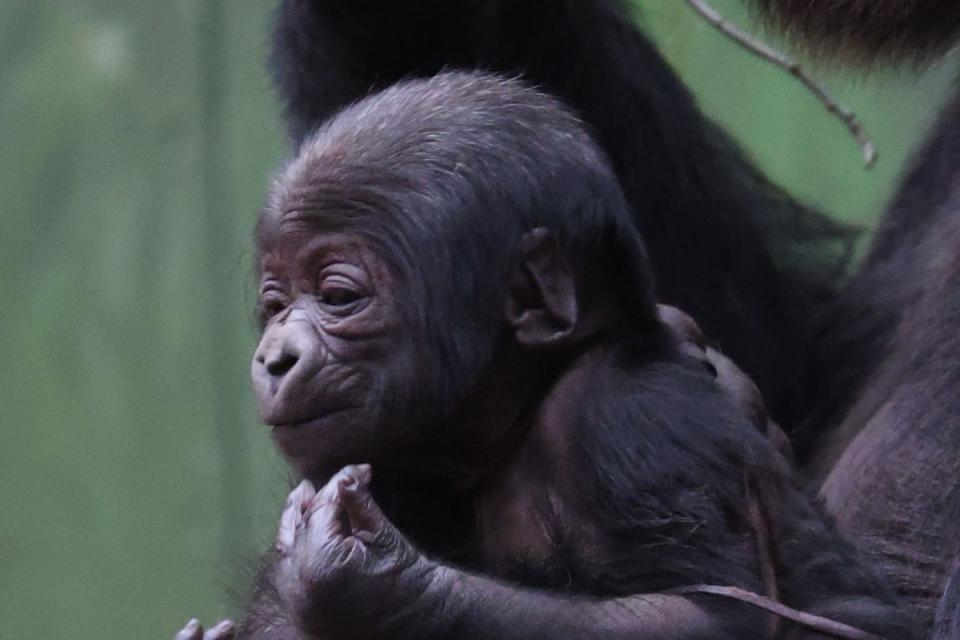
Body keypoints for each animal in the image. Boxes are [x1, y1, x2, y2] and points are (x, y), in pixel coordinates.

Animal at [182, 72, 916, 636]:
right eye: (276, 305)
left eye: (337, 295)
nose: (275, 357)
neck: (517, 416)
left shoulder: (626, 423)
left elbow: (708, 613)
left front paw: (368, 583)